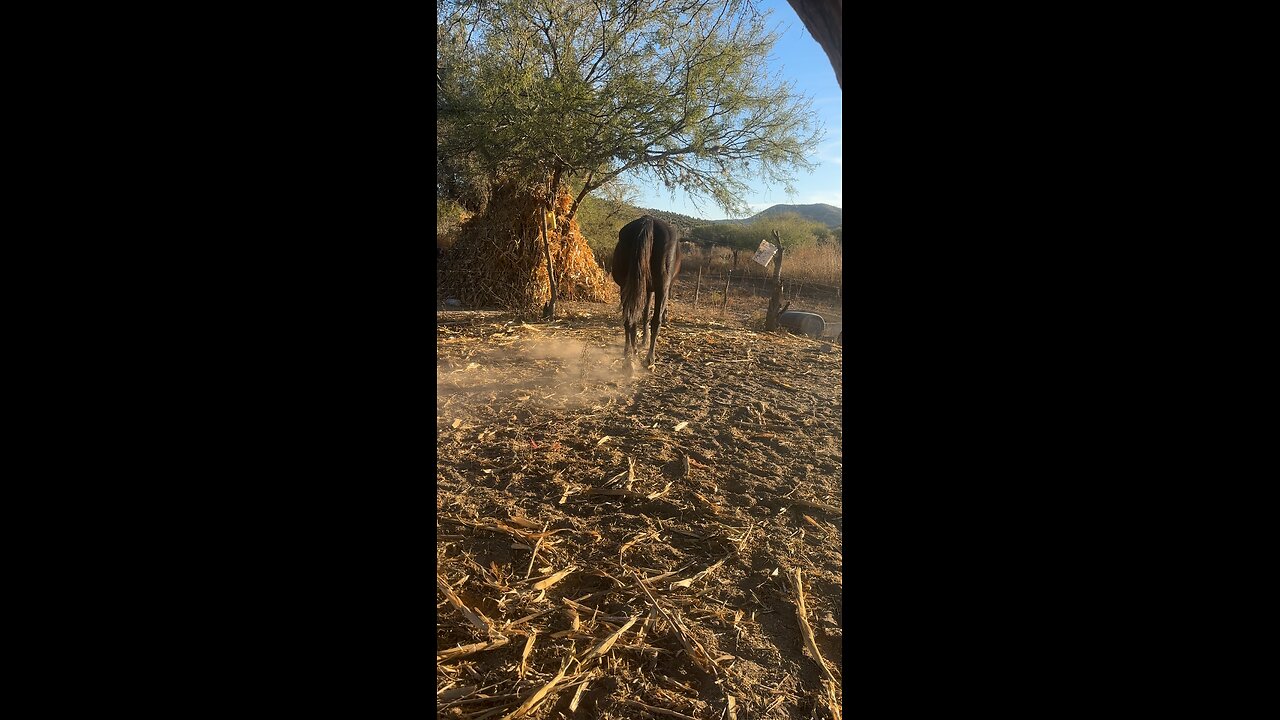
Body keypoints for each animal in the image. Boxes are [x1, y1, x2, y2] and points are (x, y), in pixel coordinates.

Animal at [614, 212, 686, 368]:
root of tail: (648, 221)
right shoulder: (660, 289)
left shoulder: (645, 289)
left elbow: (644, 312)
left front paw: (643, 340)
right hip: (661, 287)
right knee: (655, 322)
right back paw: (649, 359)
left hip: (626, 287)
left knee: (629, 319)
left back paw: (630, 354)